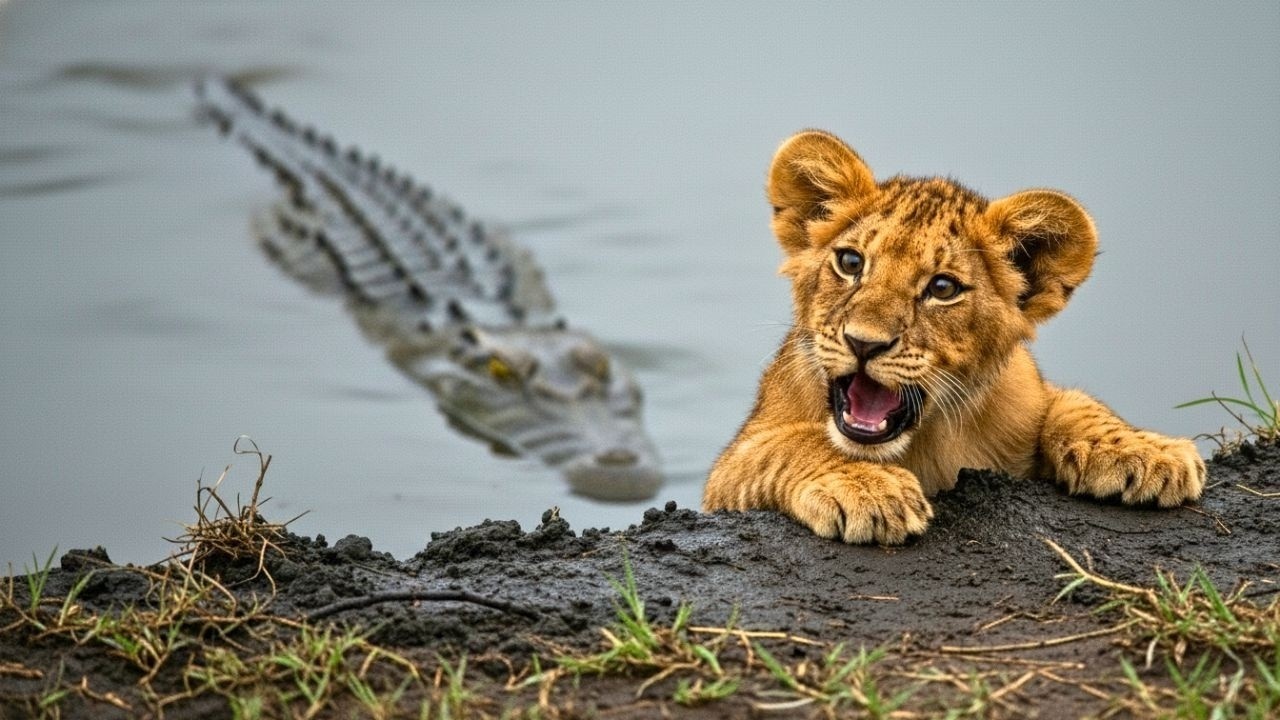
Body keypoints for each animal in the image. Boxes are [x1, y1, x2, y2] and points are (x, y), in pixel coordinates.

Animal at [702, 130, 1205, 545]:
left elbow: (1074, 404)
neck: (925, 444)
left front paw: (1146, 453)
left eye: (942, 288)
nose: (864, 343)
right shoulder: (727, 474)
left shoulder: (1027, 397)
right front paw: (867, 487)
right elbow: (791, 445)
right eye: (850, 262)